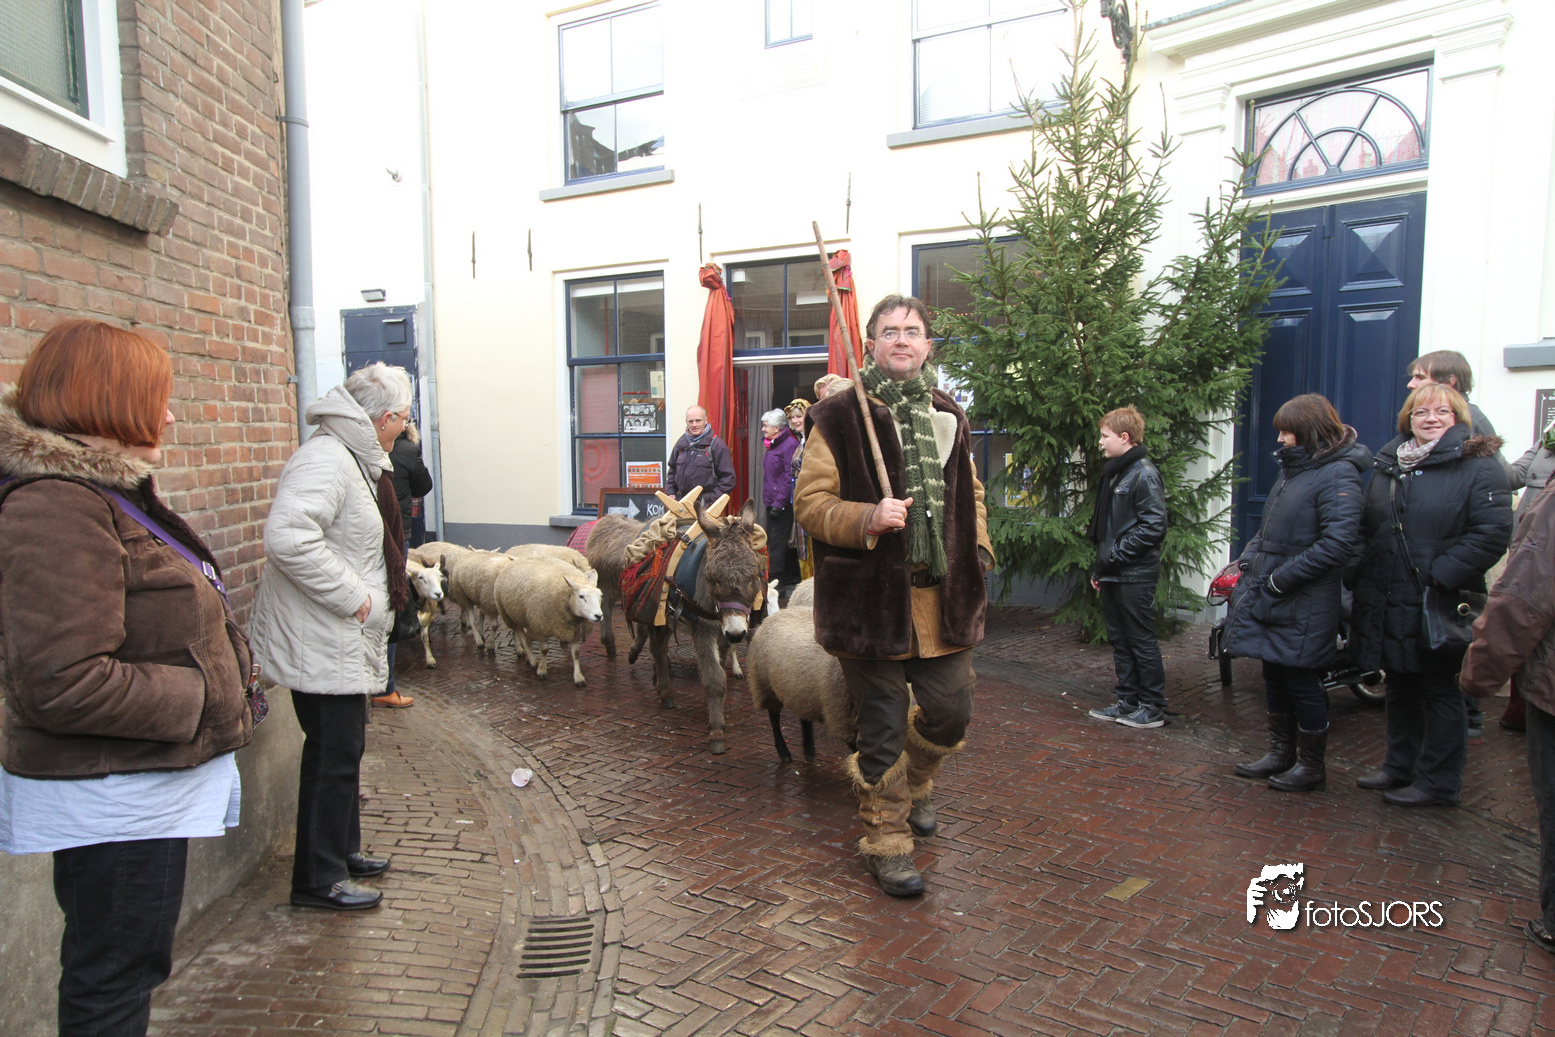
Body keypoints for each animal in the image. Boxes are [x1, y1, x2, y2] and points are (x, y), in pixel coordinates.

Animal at [493, 556, 605, 686]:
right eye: (581, 596)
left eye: (600, 595)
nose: (598, 616)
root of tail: (516, 560)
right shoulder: (540, 626)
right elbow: (544, 650)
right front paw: (542, 670)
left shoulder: (575, 631)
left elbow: (576, 654)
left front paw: (578, 677)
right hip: (509, 615)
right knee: (521, 635)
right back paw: (532, 659)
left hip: (525, 617)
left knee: (526, 636)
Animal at [745, 605, 856, 763]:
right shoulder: (844, 718)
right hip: (766, 684)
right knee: (774, 717)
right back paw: (784, 752)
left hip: (801, 689)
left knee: (804, 715)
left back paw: (809, 749)